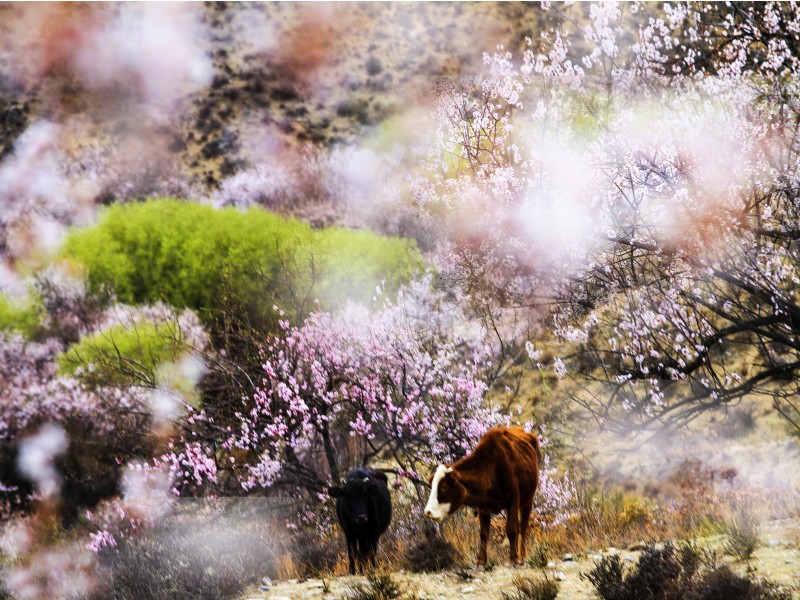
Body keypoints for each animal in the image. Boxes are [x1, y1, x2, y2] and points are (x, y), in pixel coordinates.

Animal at [422, 426, 540, 568]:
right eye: (432, 486)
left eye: (444, 487)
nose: (427, 511)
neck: (492, 469)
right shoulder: (482, 507)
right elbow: (483, 534)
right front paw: (481, 561)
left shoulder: (513, 500)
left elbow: (511, 530)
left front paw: (514, 559)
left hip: (528, 500)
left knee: (522, 527)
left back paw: (522, 557)